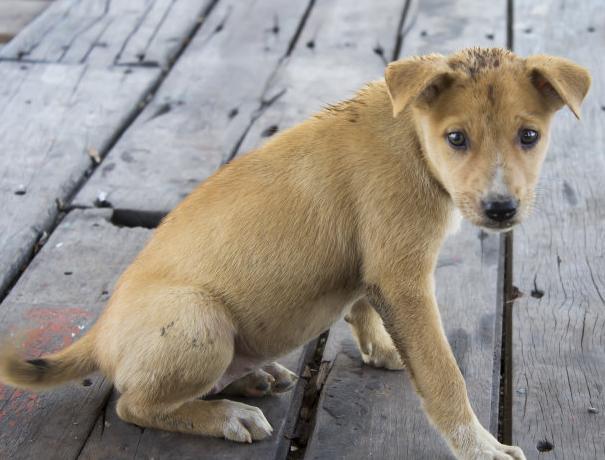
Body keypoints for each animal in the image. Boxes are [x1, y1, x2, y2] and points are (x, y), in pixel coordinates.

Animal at [0, 47, 588, 460]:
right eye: (457, 139)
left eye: (529, 136)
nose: (501, 209)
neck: (411, 136)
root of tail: (98, 333)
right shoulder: (404, 278)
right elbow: (444, 377)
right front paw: (481, 446)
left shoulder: (374, 271)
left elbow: (363, 311)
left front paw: (383, 351)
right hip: (198, 321)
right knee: (133, 404)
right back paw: (227, 415)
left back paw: (253, 378)